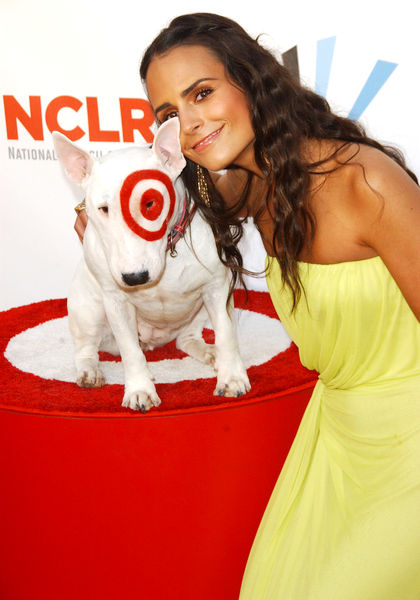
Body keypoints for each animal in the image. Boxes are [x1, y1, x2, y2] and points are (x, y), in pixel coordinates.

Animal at [52, 115, 249, 410]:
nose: (135, 278)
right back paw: (90, 372)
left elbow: (226, 333)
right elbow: (129, 350)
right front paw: (139, 390)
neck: (168, 250)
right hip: (88, 309)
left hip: (199, 309)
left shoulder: (217, 286)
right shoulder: (115, 300)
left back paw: (208, 351)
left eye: (151, 203)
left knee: (186, 339)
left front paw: (232, 378)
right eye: (103, 209)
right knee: (86, 347)